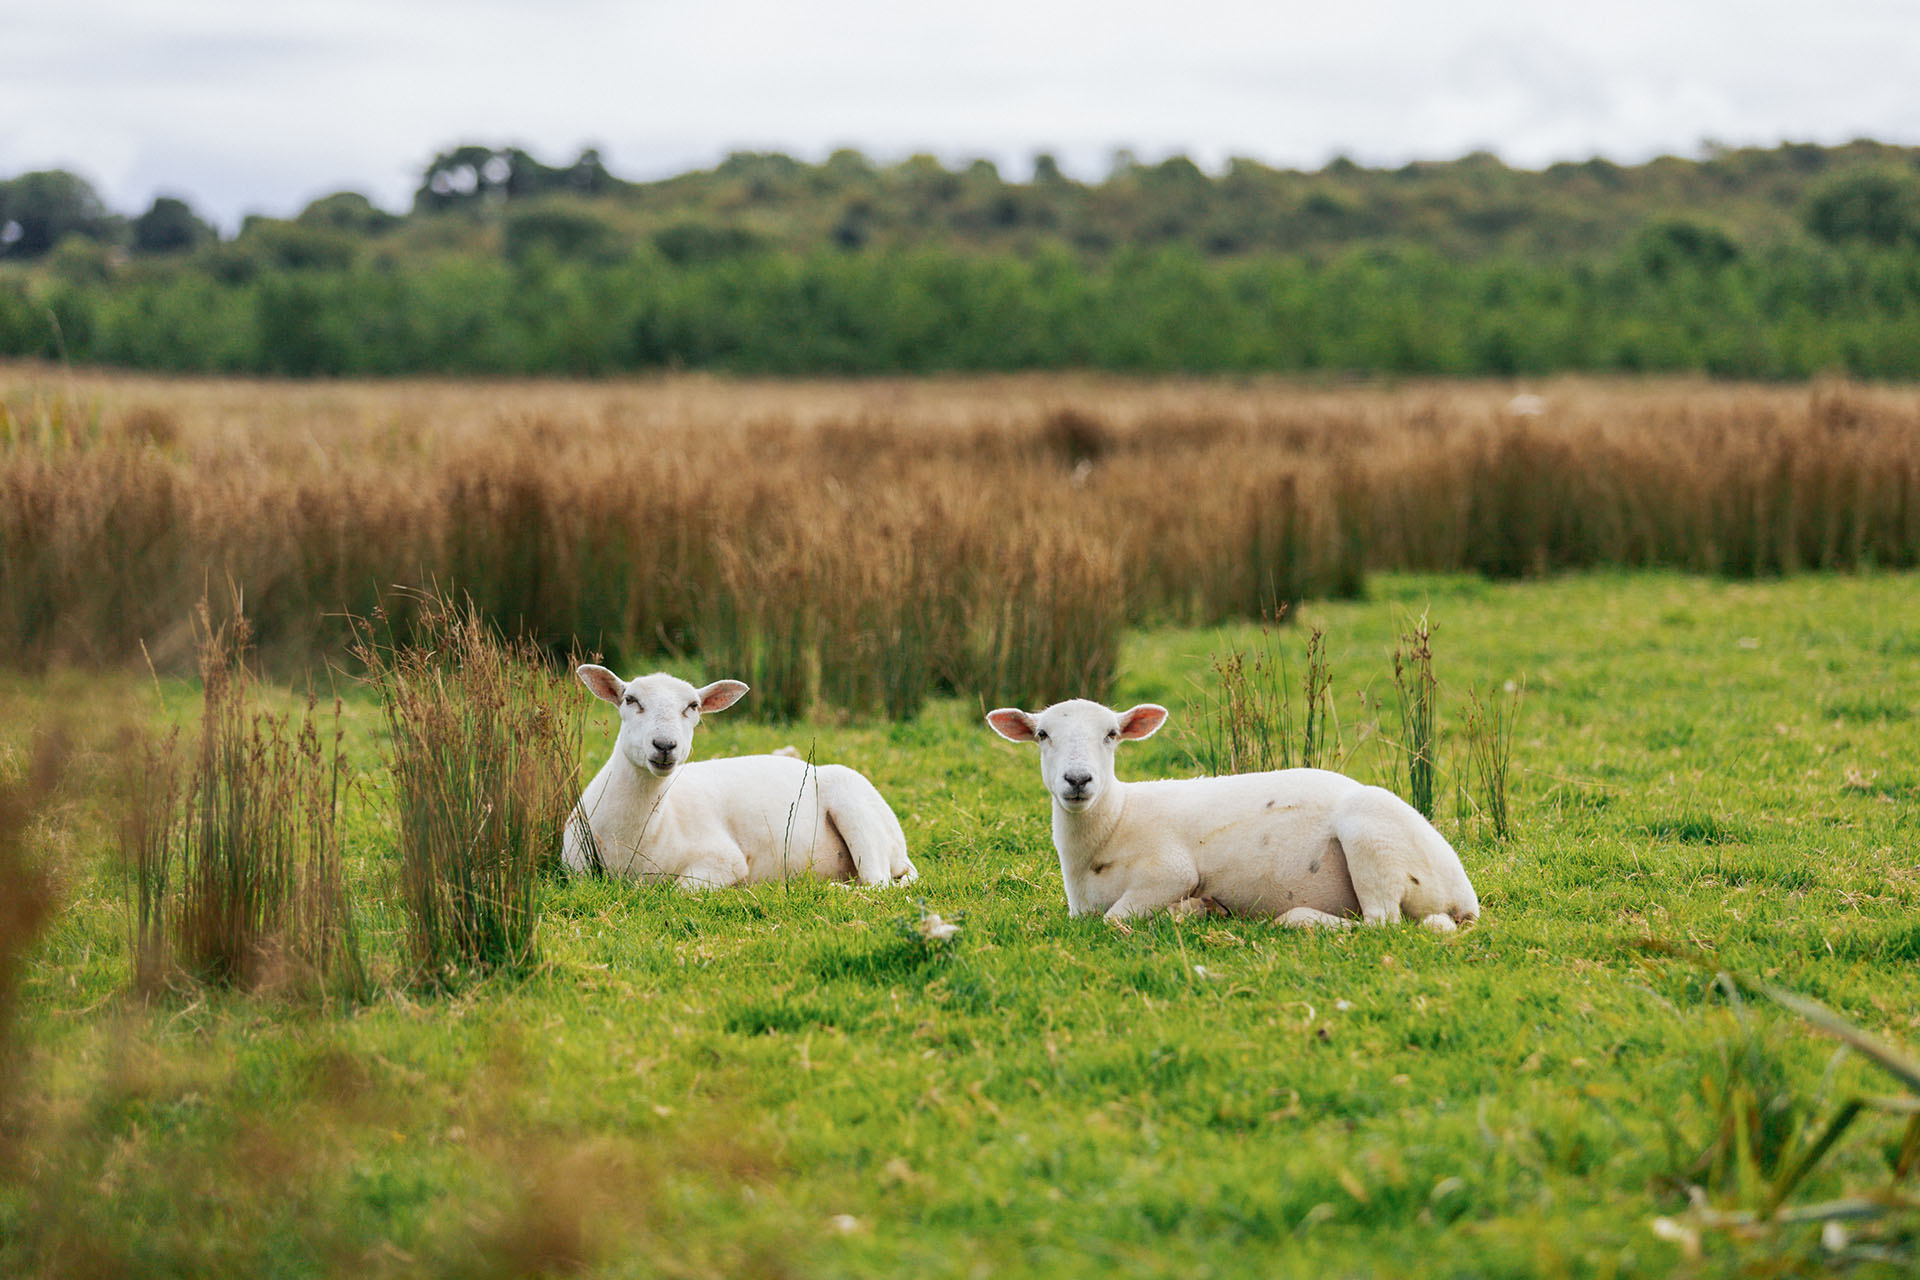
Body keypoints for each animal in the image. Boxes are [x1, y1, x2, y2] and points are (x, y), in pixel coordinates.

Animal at [564, 671, 917, 890]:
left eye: (693, 706)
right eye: (630, 700)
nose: (664, 745)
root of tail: (901, 848)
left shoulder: (724, 859)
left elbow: (680, 889)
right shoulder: (572, 866)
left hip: (857, 809)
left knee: (876, 884)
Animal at [983, 702, 1474, 932]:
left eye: (1112, 734)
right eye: (1042, 734)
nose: (1078, 779)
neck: (1114, 822)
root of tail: (1466, 897)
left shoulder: (1169, 871)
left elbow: (1117, 919)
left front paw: (1191, 911)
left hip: (1371, 832)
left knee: (1381, 923)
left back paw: (1297, 920)